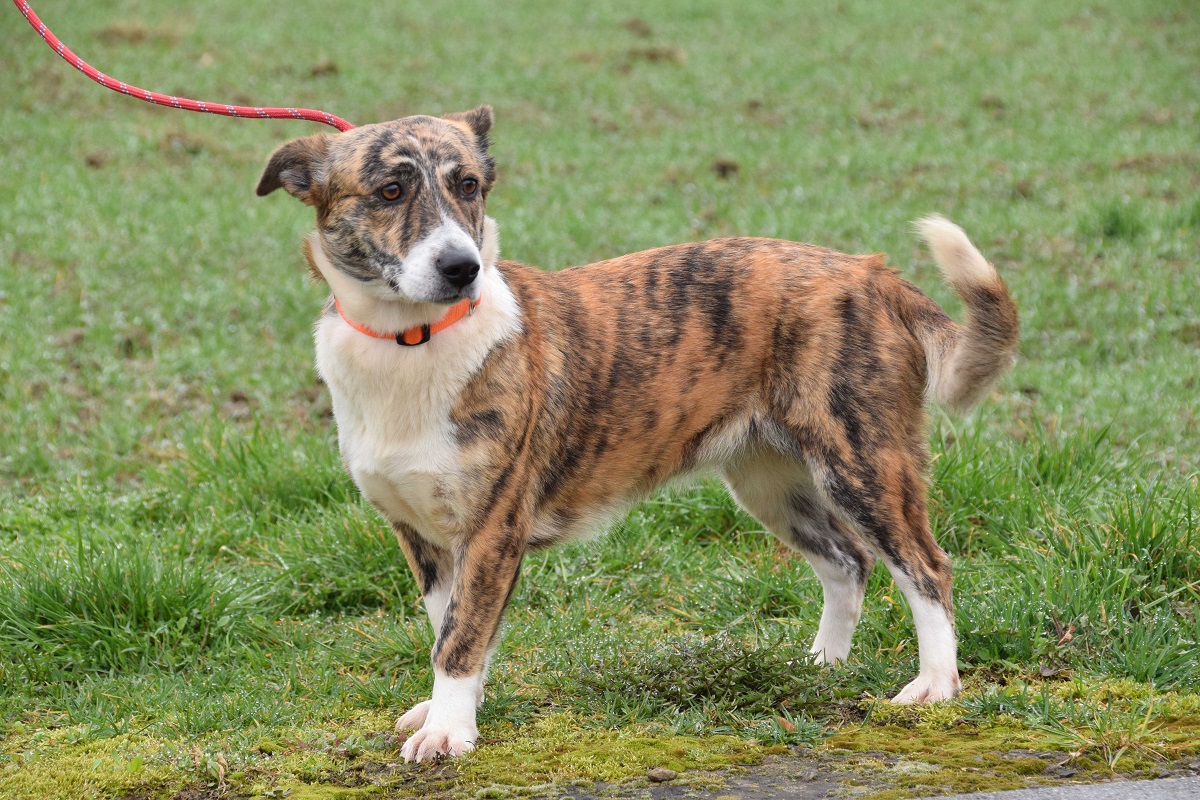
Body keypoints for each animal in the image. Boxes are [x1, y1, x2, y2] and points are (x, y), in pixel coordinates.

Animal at [255, 105, 1019, 762]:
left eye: (467, 185)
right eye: (389, 191)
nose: (461, 266)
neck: (411, 340)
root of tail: (871, 274)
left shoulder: (492, 530)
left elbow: (461, 638)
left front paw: (448, 734)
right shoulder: (427, 539)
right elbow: (455, 630)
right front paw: (456, 712)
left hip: (862, 461)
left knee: (925, 567)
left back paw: (935, 685)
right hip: (768, 481)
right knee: (847, 563)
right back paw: (820, 665)